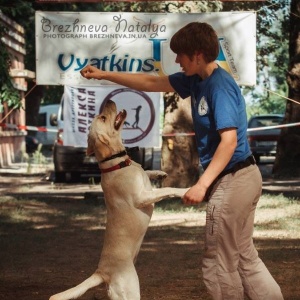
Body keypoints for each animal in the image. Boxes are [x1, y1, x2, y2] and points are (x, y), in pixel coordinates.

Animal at [49, 99, 188, 298]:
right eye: (103, 117)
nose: (109, 100)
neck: (116, 163)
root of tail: (102, 272)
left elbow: (147, 171)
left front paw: (159, 173)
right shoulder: (143, 197)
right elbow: (169, 189)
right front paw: (186, 190)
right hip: (131, 290)